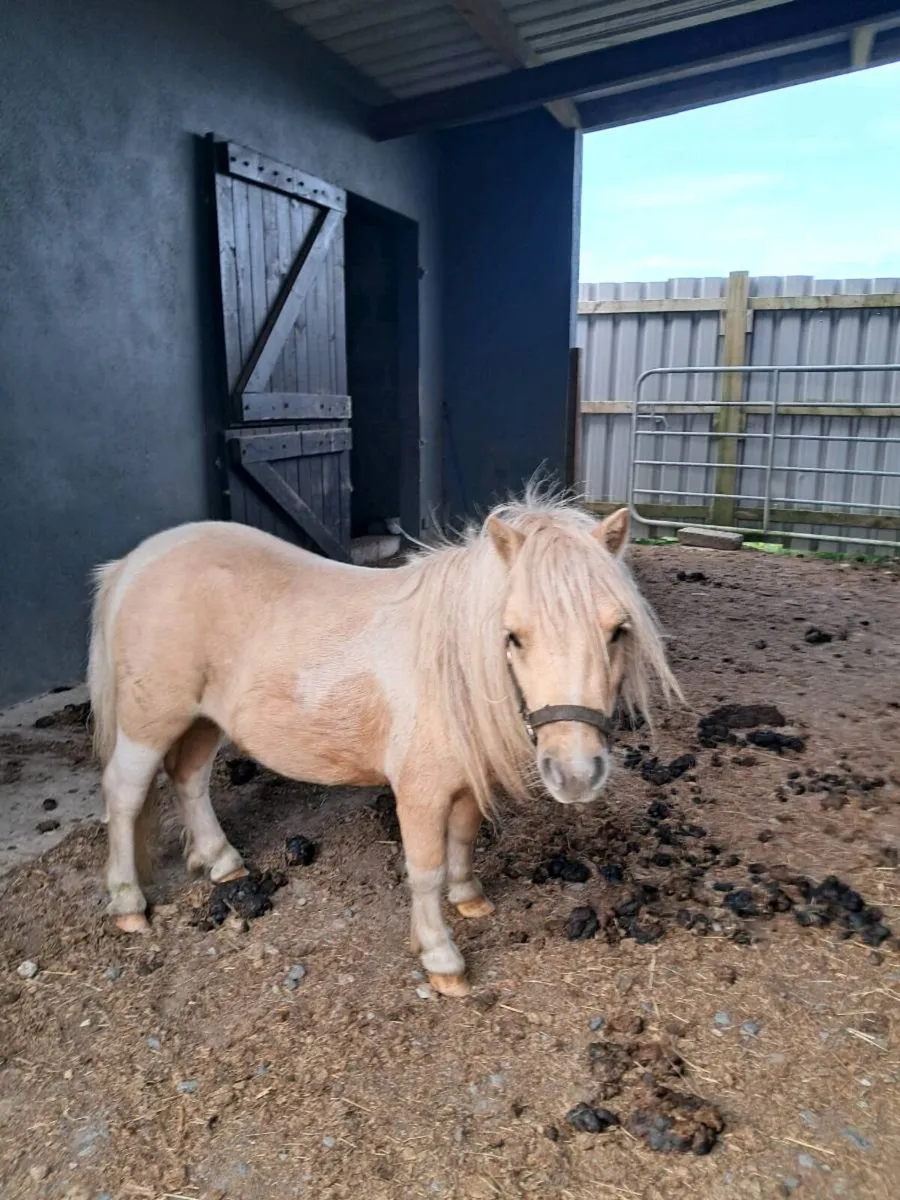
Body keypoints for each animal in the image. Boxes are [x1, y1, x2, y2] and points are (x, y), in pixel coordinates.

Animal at [87, 491, 681, 996]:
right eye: (513, 636)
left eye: (618, 630)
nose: (576, 774)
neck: (448, 664)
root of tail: (134, 562)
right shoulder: (419, 792)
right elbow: (425, 869)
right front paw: (441, 958)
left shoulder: (466, 781)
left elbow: (463, 839)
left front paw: (469, 899)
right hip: (149, 723)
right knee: (125, 794)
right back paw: (128, 903)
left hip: (204, 719)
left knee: (189, 779)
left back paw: (221, 860)